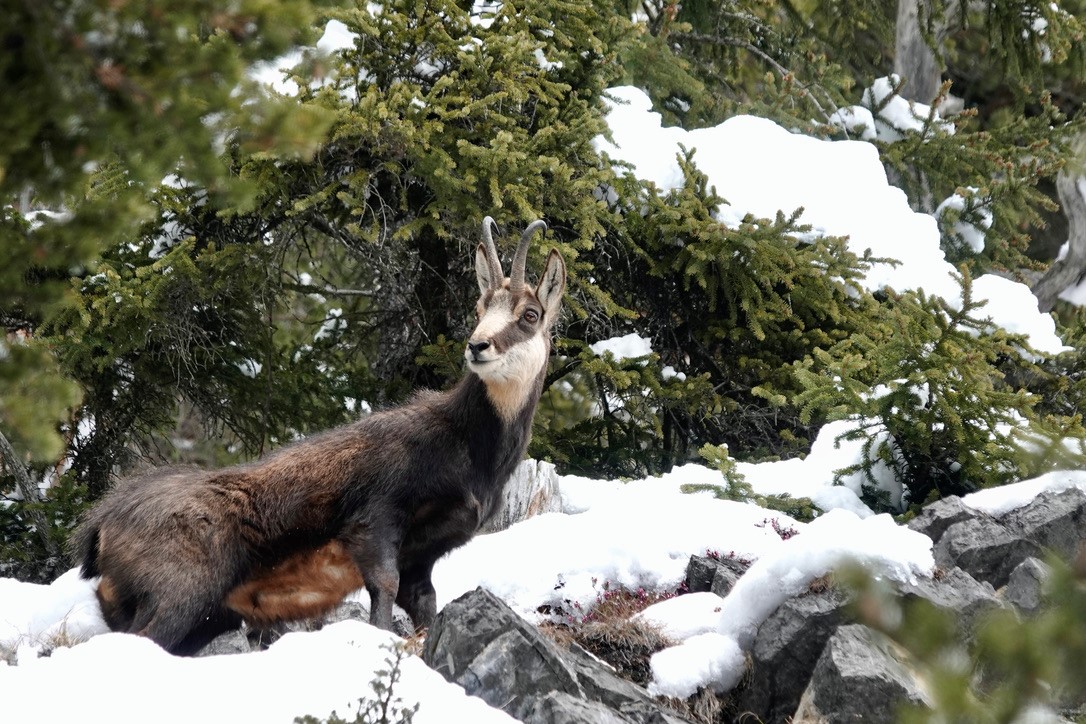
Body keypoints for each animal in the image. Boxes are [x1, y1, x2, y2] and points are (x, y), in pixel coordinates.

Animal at [71, 217, 566, 655]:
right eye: (480, 308)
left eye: (530, 314)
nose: (477, 346)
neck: (466, 445)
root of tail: (101, 526)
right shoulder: (376, 517)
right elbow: (384, 589)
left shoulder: (423, 552)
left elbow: (424, 603)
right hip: (180, 594)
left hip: (193, 614)